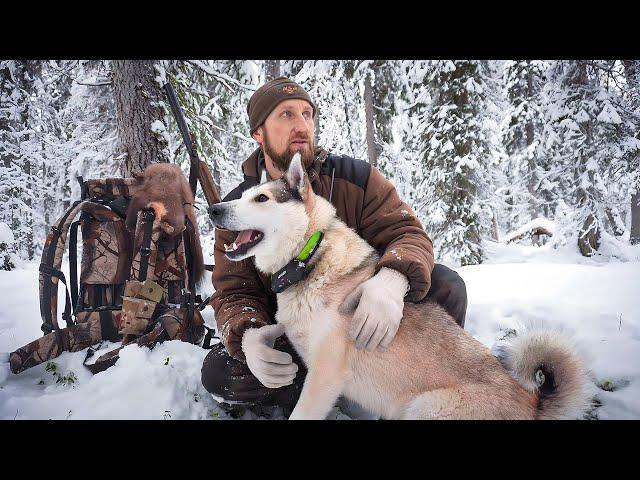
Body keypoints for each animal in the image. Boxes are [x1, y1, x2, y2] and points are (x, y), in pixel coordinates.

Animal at [208, 154, 588, 420]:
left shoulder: (324, 377)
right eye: (243, 195)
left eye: (262, 199)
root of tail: (532, 403)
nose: (213, 209)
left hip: (425, 407)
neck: (310, 257)